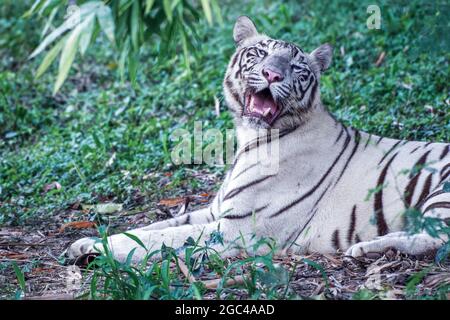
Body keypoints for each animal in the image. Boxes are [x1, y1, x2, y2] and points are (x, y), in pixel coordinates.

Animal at [67, 15, 450, 262]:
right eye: (261, 53)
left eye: (297, 68)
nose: (271, 74)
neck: (250, 137)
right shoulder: (215, 211)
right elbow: (159, 224)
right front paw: (85, 242)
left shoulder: (237, 229)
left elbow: (158, 237)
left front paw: (95, 248)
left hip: (440, 191)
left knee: (436, 240)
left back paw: (366, 248)